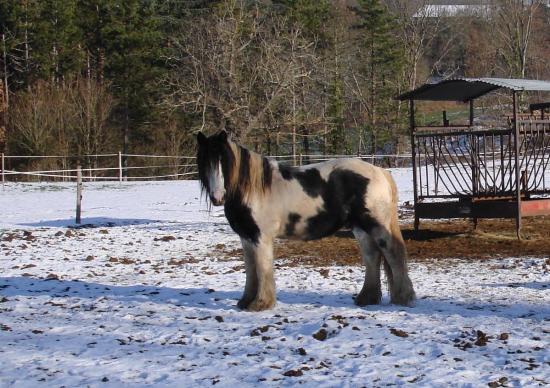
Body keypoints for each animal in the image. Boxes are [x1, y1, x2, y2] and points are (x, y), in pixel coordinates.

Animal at [196, 130, 416, 312]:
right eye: (205, 162)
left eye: (225, 161)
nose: (218, 197)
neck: (255, 189)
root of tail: (380, 172)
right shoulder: (247, 238)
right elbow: (251, 270)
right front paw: (245, 301)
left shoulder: (261, 238)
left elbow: (263, 268)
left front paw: (261, 303)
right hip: (360, 227)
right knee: (372, 256)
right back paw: (366, 298)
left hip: (376, 224)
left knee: (393, 253)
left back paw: (403, 298)